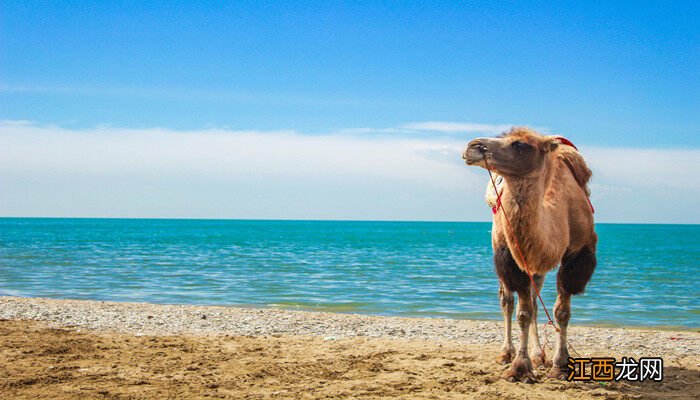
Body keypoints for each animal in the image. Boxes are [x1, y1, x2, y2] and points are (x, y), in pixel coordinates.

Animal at [462, 126, 600, 382]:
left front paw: (560, 364)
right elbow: (522, 313)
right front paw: (519, 367)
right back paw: (506, 353)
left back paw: (538, 355)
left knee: (536, 302)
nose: (472, 146)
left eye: (519, 144)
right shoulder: (512, 257)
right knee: (507, 300)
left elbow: (561, 311)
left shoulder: (576, 255)